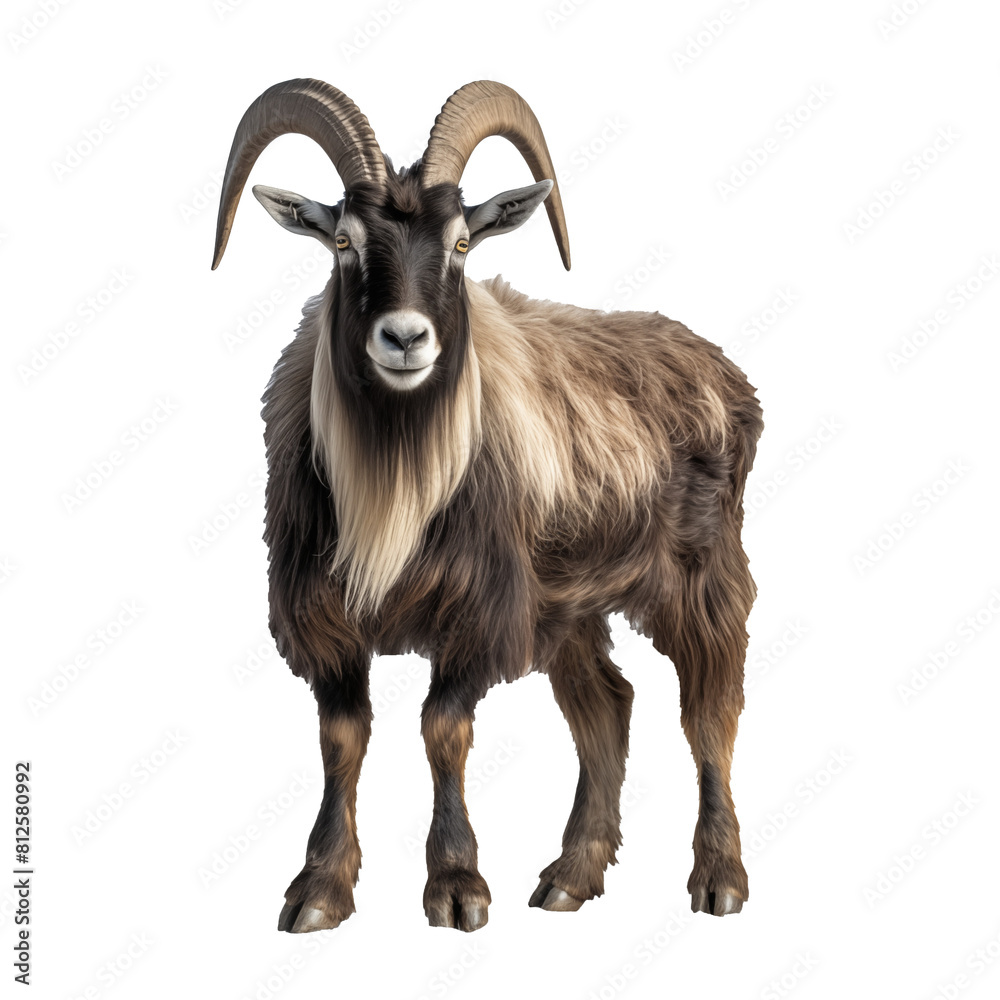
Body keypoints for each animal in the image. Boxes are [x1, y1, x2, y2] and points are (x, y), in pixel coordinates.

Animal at [212, 79, 763, 933]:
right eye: (342, 240)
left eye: (464, 242)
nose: (406, 339)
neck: (395, 484)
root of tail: (726, 373)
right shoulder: (326, 619)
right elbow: (342, 736)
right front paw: (319, 891)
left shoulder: (478, 608)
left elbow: (443, 727)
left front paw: (457, 887)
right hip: (570, 605)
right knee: (606, 707)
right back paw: (570, 877)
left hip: (703, 574)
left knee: (710, 708)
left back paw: (719, 880)